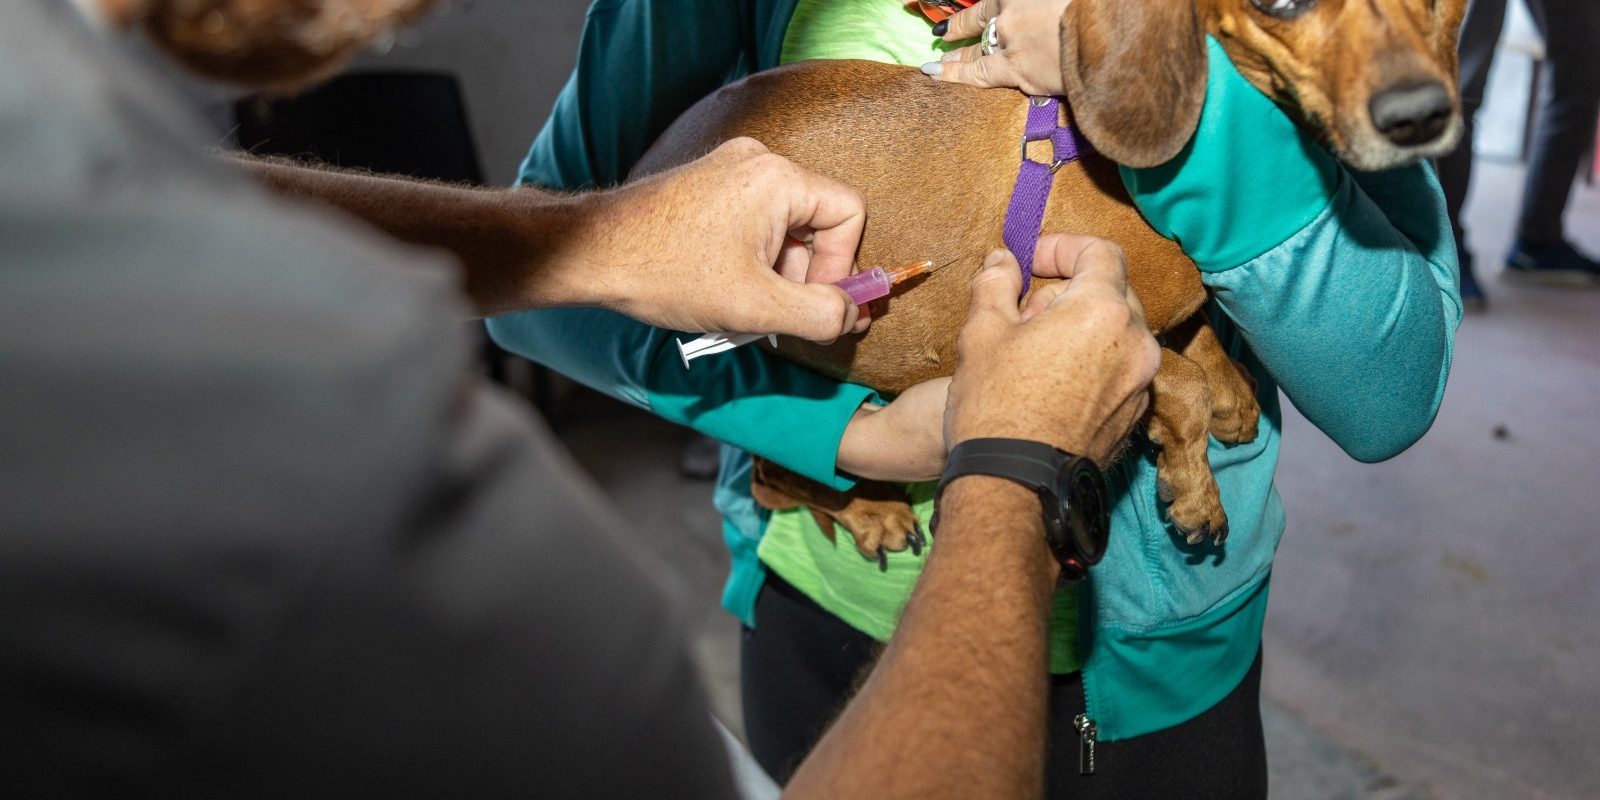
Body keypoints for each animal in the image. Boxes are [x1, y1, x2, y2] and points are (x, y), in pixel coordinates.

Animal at [630, 0, 1465, 560]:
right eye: (1281, 3)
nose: (1419, 118)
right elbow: (1181, 385)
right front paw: (1193, 485)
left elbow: (1200, 340)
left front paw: (1228, 394)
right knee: (775, 477)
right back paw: (872, 509)